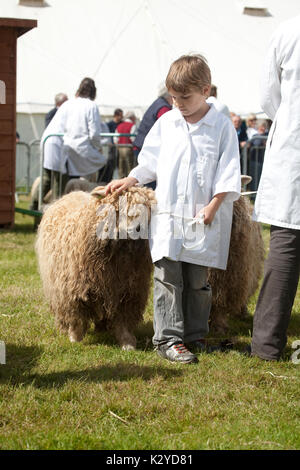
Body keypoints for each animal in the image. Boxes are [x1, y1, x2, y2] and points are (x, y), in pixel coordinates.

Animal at [35, 185, 155, 350]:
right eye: (121, 206)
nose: (138, 228)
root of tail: (72, 193)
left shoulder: (129, 290)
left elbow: (123, 318)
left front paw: (127, 343)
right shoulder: (75, 288)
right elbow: (77, 314)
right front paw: (75, 337)